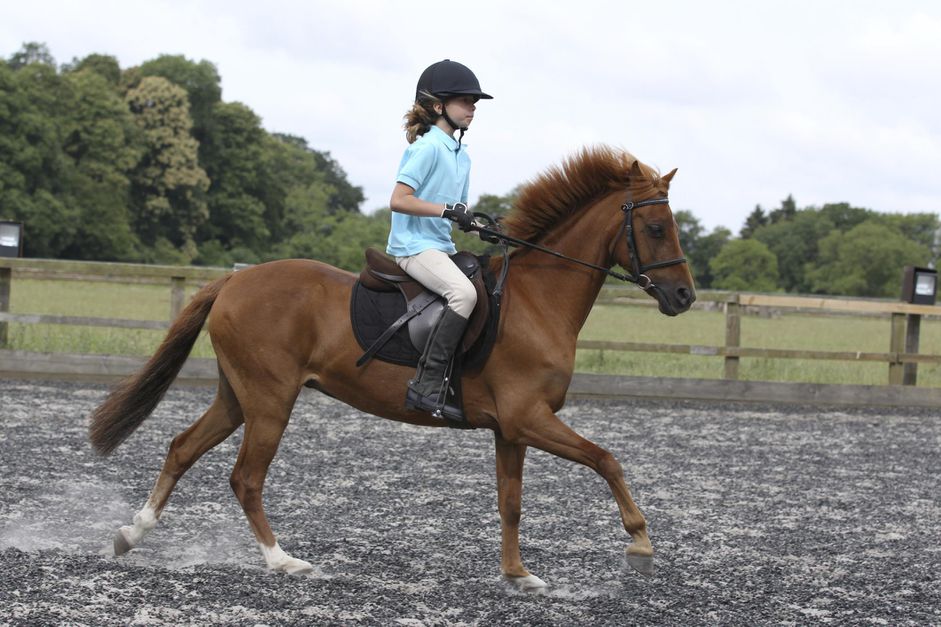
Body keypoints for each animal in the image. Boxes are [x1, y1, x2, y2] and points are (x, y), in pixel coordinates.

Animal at [92, 146, 692, 588]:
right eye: (656, 228)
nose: (683, 296)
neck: (537, 300)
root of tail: (235, 280)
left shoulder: (511, 429)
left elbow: (511, 503)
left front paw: (518, 575)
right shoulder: (529, 418)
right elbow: (606, 459)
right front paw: (640, 542)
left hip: (237, 396)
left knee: (182, 448)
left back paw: (131, 534)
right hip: (270, 401)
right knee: (246, 478)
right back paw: (282, 560)